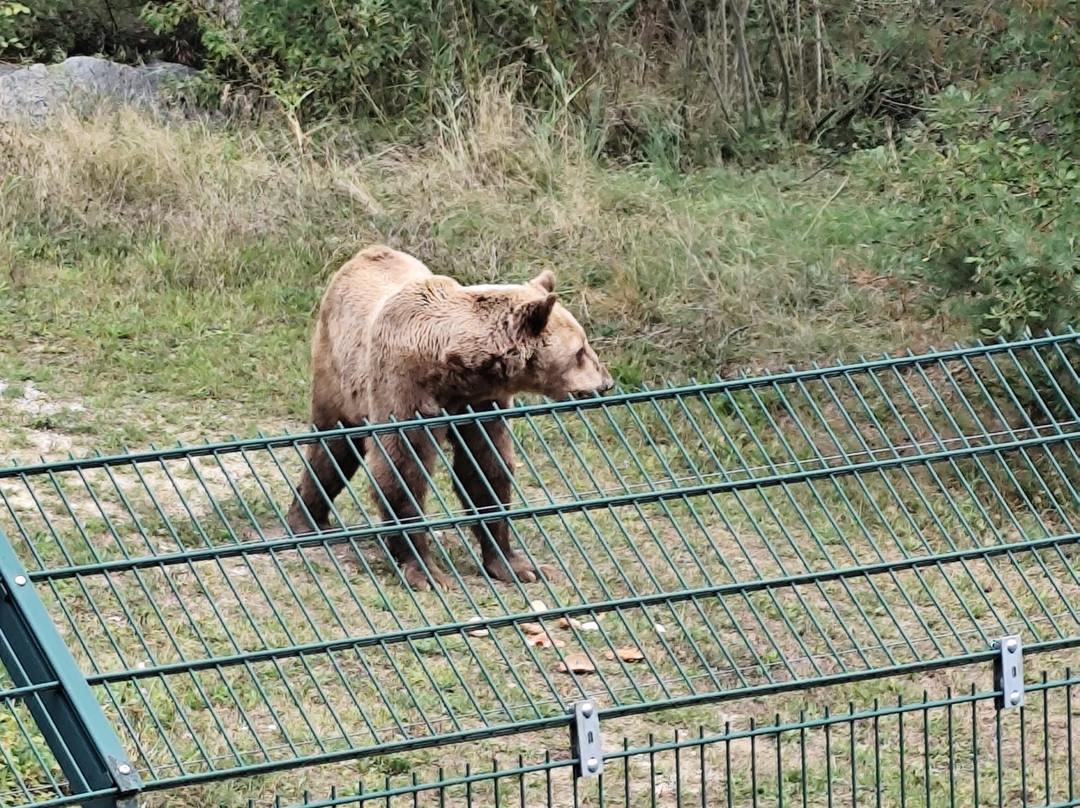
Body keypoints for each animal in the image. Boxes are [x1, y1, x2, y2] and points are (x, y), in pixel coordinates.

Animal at [279, 244, 613, 591]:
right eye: (580, 351)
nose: (606, 383)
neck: (455, 370)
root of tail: (365, 253)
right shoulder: (404, 389)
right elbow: (402, 471)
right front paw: (426, 572)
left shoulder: (480, 405)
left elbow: (486, 469)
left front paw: (517, 564)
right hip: (338, 371)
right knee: (332, 446)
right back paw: (307, 520)